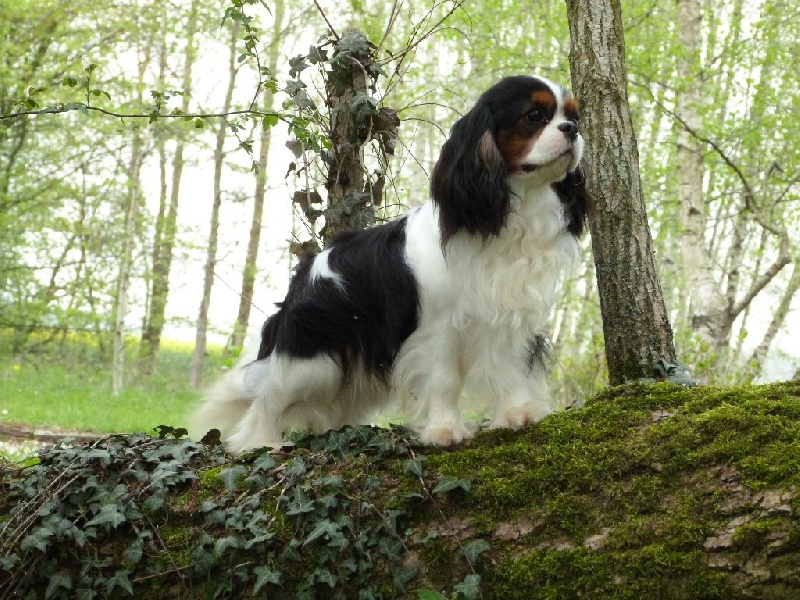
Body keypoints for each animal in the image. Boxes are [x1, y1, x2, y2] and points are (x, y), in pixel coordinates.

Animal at [194, 75, 592, 452]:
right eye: (534, 116)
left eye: (573, 117)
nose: (572, 130)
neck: (515, 208)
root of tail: (306, 272)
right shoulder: (437, 327)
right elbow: (444, 380)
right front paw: (444, 431)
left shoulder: (511, 319)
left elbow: (510, 369)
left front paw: (517, 414)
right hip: (311, 361)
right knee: (266, 399)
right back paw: (259, 442)